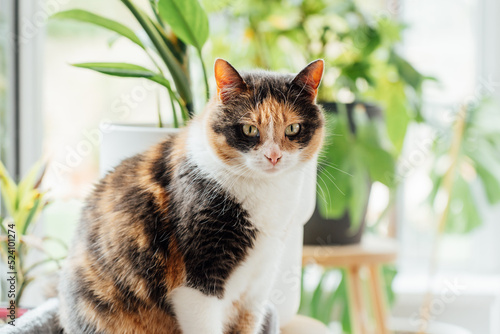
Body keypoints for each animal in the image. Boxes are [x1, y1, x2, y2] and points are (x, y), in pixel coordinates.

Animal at [58, 58, 326, 332]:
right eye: (249, 129)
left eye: (293, 128)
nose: (274, 156)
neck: (264, 191)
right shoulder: (197, 282)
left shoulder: (258, 286)